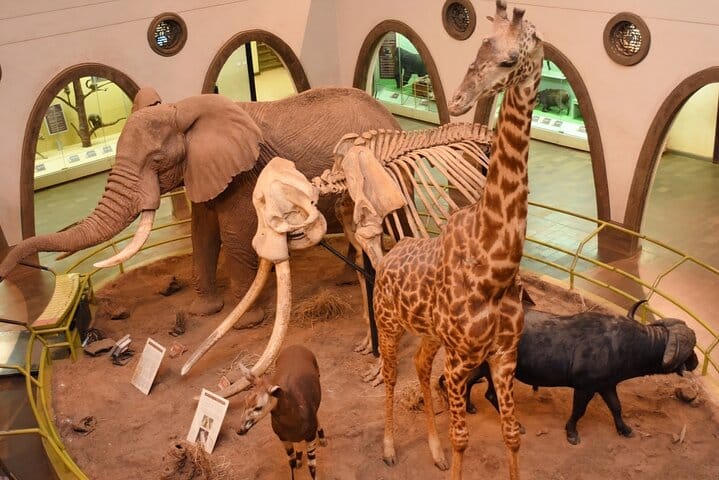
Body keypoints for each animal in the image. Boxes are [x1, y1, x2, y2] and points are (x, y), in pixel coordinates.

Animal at [372, 2, 543, 479]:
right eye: (478, 47)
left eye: (508, 60)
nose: (460, 100)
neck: (495, 264)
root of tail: (388, 256)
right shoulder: (464, 357)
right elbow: (462, 437)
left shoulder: (503, 357)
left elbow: (512, 435)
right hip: (388, 323)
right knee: (390, 376)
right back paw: (389, 448)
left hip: (431, 336)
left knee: (418, 366)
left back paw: (432, 450)